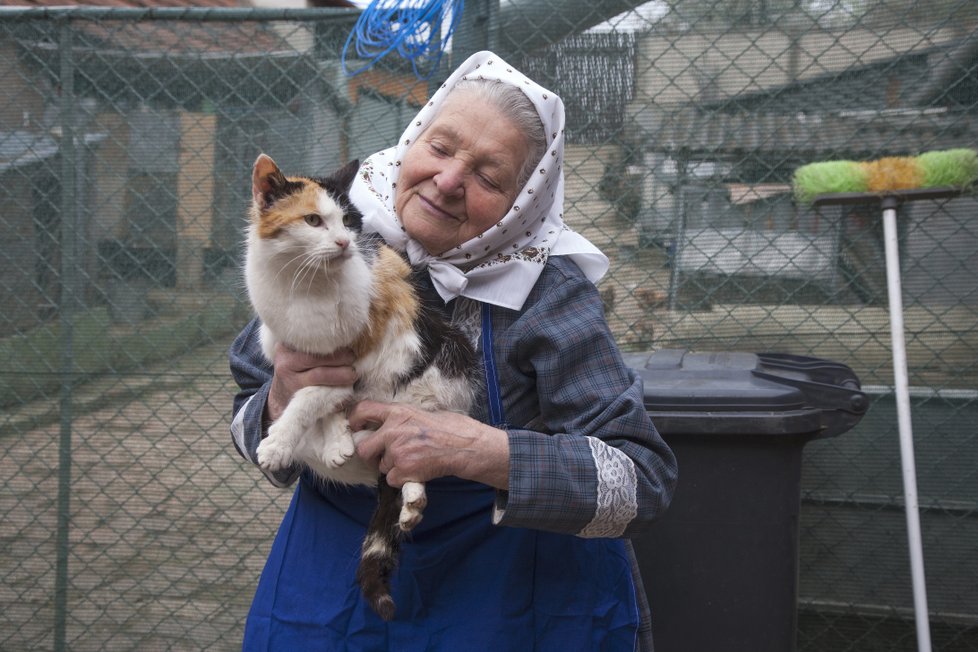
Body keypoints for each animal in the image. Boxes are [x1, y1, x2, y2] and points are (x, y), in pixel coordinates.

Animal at [246, 154, 478, 620]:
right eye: (313, 220)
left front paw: (277, 444)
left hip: (442, 370)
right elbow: (317, 400)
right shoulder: (282, 348)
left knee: (415, 447)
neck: (303, 286)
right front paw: (334, 439)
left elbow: (309, 399)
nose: (343, 244)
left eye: (349, 222)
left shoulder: (356, 362)